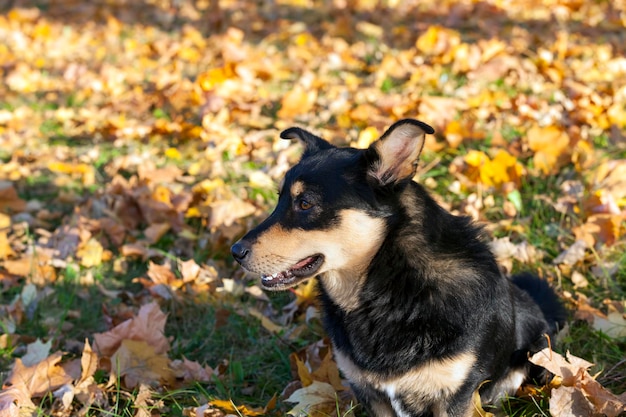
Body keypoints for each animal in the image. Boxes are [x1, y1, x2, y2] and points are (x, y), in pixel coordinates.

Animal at [230, 119, 564, 416]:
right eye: (280, 199)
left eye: (305, 203)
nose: (235, 252)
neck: (391, 288)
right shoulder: (371, 394)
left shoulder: (455, 396)